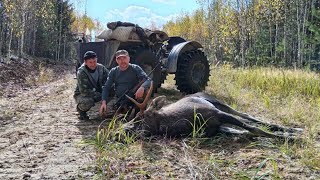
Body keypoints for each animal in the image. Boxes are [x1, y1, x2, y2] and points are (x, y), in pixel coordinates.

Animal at [123, 82, 302, 139]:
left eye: (140, 119)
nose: (121, 130)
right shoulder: (215, 128)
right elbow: (245, 131)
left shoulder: (218, 114)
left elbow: (254, 129)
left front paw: (290, 138)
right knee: (246, 119)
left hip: (220, 104)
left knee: (247, 116)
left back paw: (294, 129)